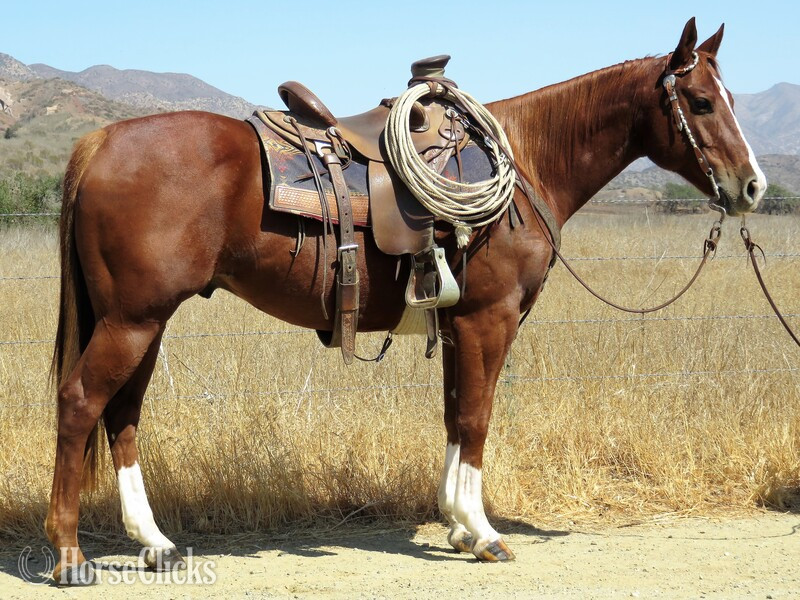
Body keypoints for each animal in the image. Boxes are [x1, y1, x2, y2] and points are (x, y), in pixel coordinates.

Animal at [45, 17, 765, 583]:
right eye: (702, 102)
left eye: (729, 97)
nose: (752, 186)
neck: (526, 162)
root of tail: (101, 141)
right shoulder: (488, 320)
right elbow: (476, 418)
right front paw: (483, 532)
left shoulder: (455, 324)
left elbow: (453, 416)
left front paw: (456, 524)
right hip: (133, 320)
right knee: (82, 402)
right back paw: (69, 554)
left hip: (142, 321)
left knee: (123, 415)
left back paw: (156, 544)